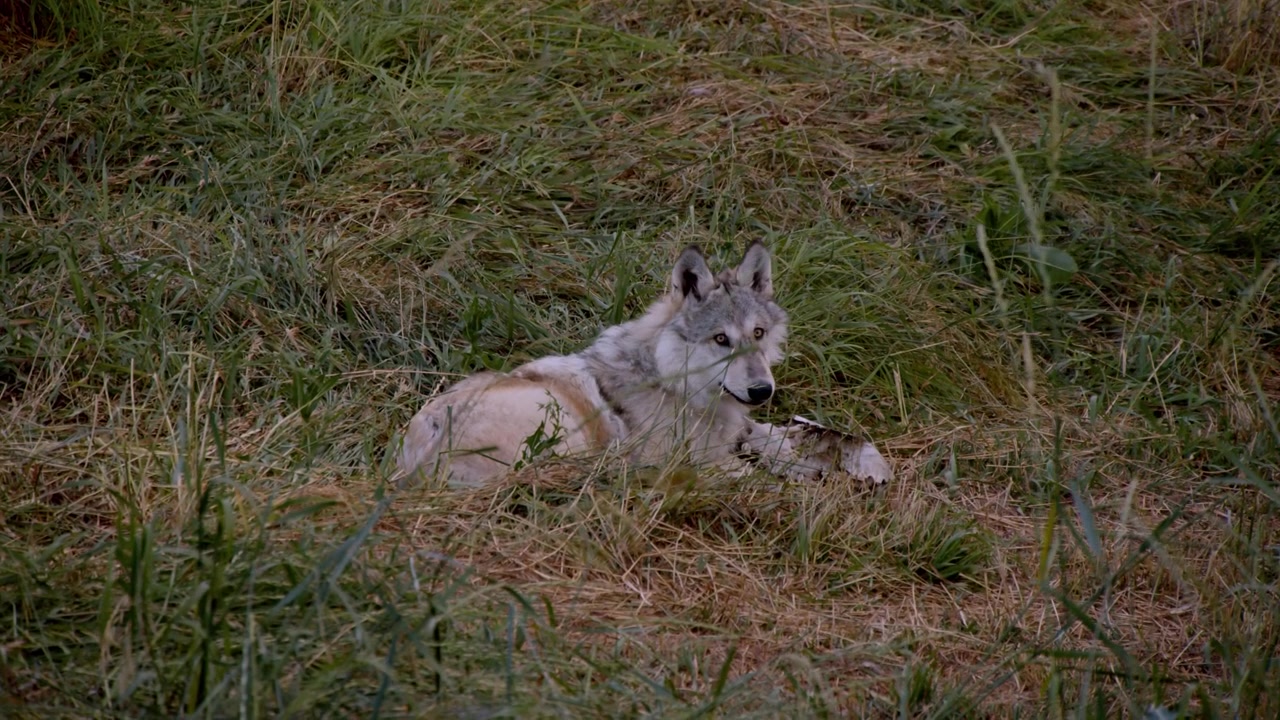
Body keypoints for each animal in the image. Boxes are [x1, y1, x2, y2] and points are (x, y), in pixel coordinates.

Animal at [396, 241, 892, 487]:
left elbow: (772, 438)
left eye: (757, 334)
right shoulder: (690, 459)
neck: (673, 385)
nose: (762, 391)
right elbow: (753, 471)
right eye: (720, 339)